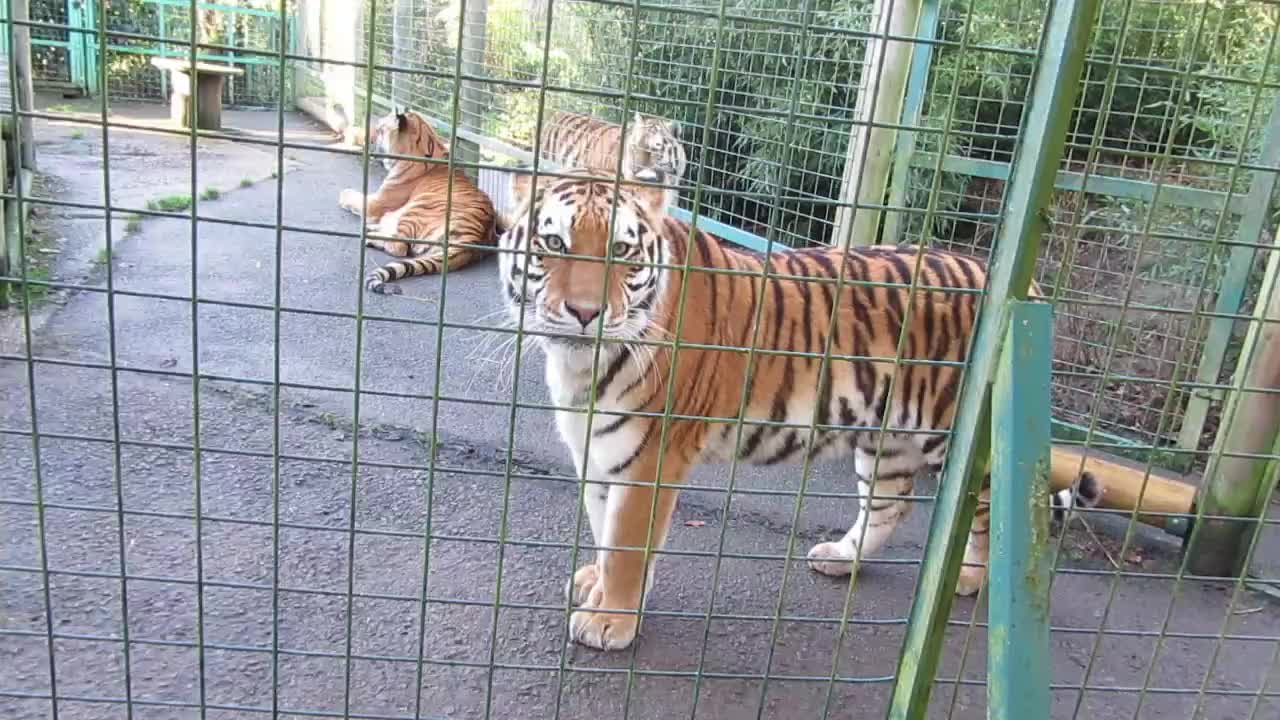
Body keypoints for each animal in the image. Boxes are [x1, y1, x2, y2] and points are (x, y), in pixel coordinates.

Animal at [338, 109, 497, 294]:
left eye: (380, 129)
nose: (367, 139)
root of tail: (472, 239)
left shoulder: (375, 205)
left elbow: (351, 196)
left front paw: (344, 194)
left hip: (417, 209)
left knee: (399, 247)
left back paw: (370, 238)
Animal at [496, 170, 1103, 651]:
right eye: (553, 243)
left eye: (620, 252)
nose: (584, 312)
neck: (579, 365)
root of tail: (1023, 284)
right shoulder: (598, 451)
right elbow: (605, 531)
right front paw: (596, 584)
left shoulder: (651, 458)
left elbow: (624, 542)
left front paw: (609, 622)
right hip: (886, 440)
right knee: (891, 504)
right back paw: (841, 557)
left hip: (956, 436)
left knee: (989, 513)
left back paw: (970, 579)